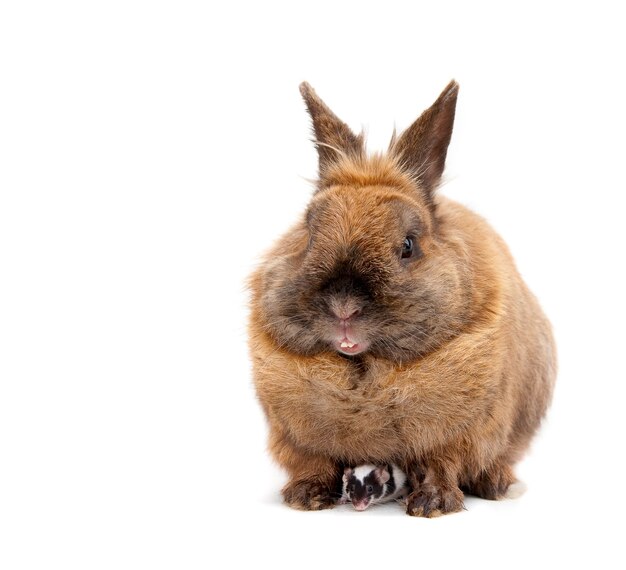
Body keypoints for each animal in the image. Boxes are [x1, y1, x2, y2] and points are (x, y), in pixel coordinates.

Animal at [246, 79, 552, 516]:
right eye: (308, 236)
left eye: (408, 245)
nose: (344, 307)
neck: (365, 373)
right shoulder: (296, 437)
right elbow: (313, 462)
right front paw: (306, 496)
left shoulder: (458, 433)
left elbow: (442, 463)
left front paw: (431, 505)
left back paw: (498, 484)